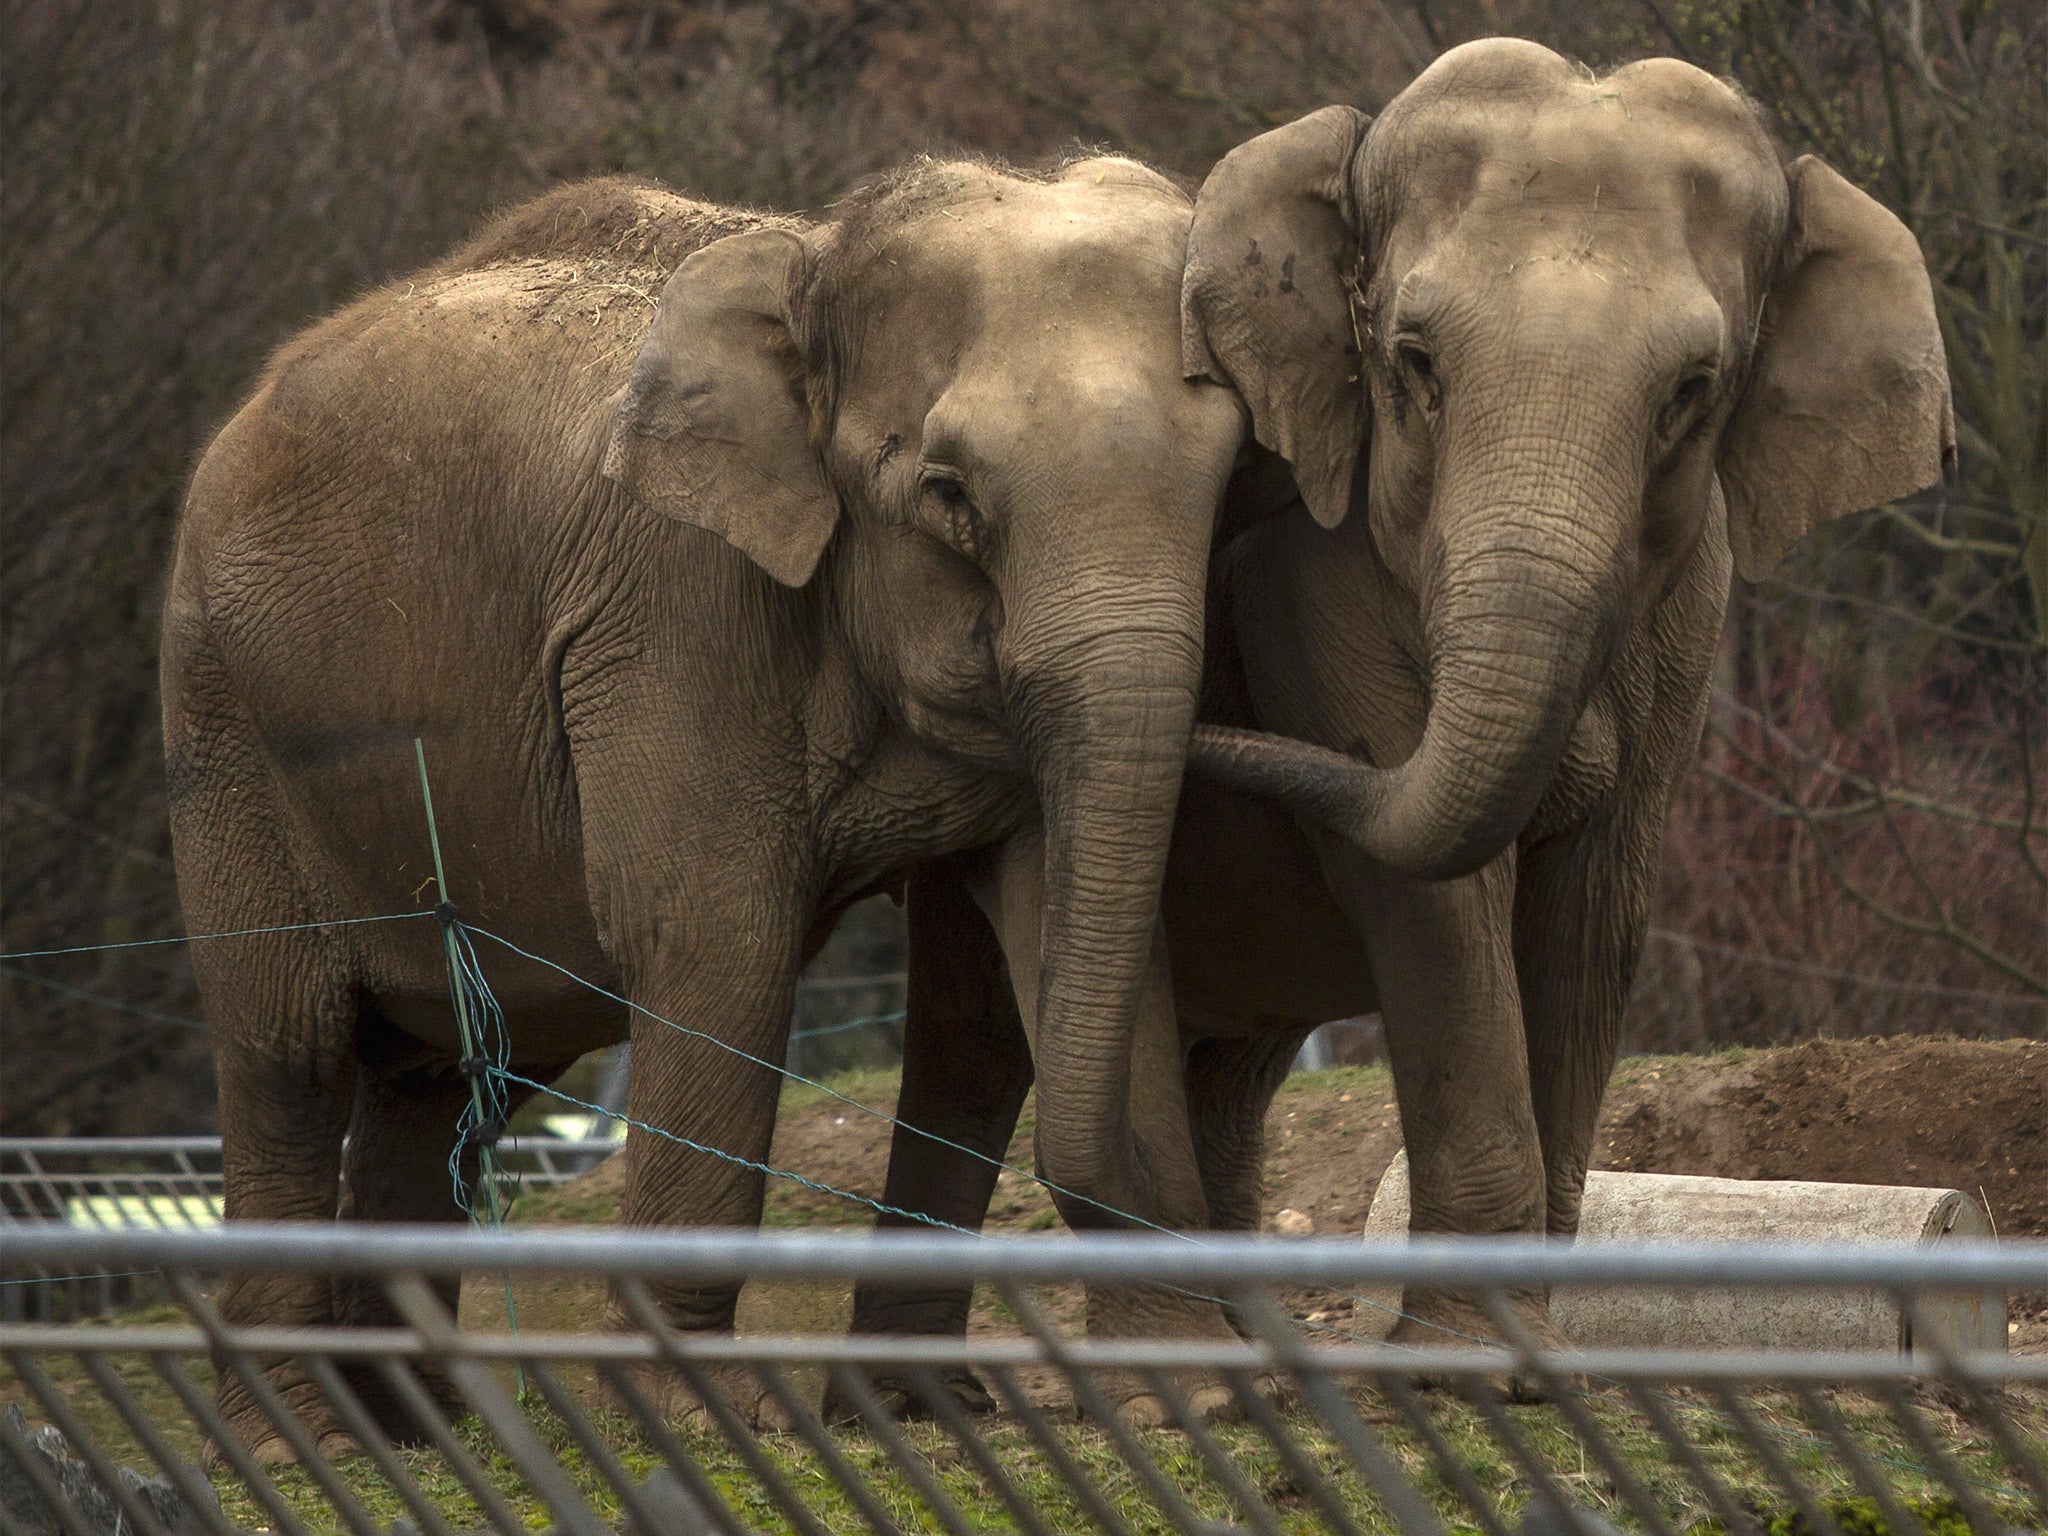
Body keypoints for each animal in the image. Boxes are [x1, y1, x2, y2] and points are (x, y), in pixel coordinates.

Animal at [167, 159, 1286, 1466]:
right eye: (947, 495)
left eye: (1231, 483)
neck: (817, 255)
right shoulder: (675, 609)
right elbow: (716, 940)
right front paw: (697, 1426)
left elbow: (1066, 926)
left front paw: (1191, 1404)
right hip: (223, 723)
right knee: (287, 1054)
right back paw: (302, 1440)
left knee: (450, 1075)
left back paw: (421, 1436)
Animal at [847, 36, 1949, 1392]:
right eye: (1413, 362)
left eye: (1692, 390)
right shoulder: (1313, 592)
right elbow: (1433, 908)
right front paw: (1461, 1367)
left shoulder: (1690, 612)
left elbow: (1596, 908)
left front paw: (1533, 1363)